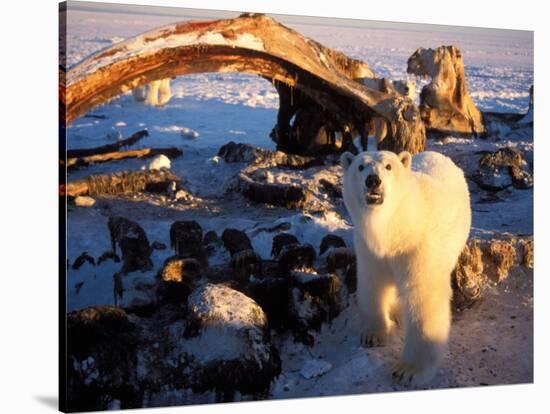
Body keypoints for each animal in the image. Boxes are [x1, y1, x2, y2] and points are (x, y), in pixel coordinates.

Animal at [342, 150, 472, 386]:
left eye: (388, 166)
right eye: (360, 166)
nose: (373, 180)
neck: (394, 227)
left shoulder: (417, 246)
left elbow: (423, 297)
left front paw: (408, 371)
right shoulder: (369, 248)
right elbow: (373, 282)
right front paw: (372, 335)